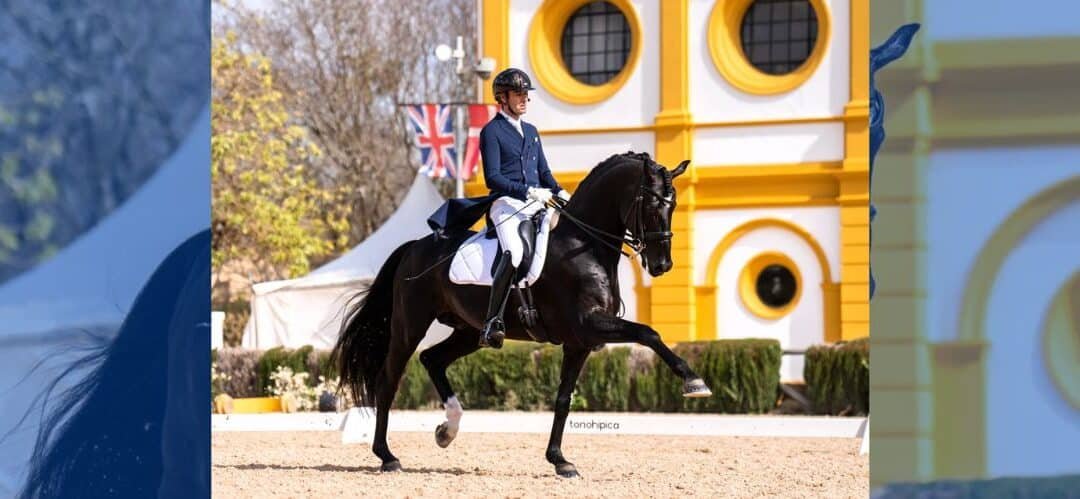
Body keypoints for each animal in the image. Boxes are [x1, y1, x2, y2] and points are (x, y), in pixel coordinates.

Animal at [330, 151, 712, 478]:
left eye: (674, 205)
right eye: (651, 204)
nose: (662, 265)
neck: (583, 245)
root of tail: (414, 247)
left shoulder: (580, 341)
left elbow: (563, 400)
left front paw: (559, 461)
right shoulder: (589, 324)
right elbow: (649, 333)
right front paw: (694, 381)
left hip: (469, 332)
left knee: (433, 359)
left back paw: (447, 429)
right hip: (410, 325)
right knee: (388, 380)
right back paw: (387, 456)